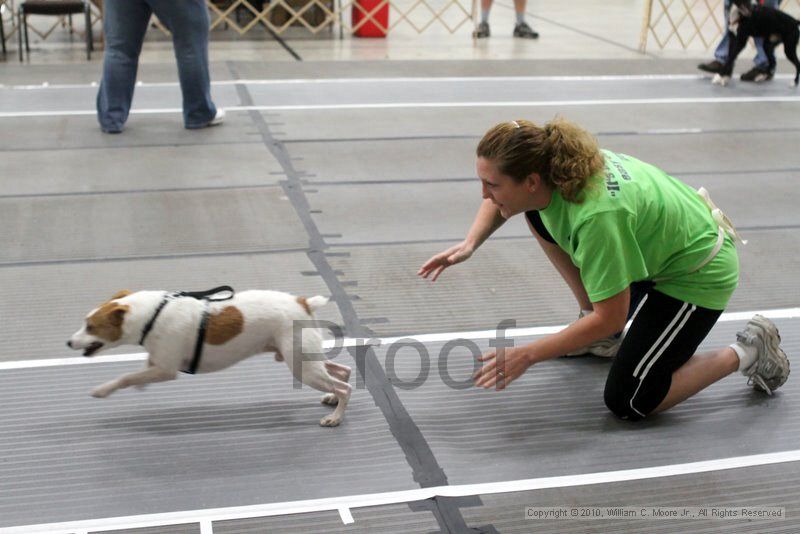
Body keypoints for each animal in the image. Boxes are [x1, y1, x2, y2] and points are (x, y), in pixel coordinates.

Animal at [69, 286, 354, 430]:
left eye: (91, 326)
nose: (68, 342)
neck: (153, 314)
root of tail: (303, 302)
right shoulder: (158, 363)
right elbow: (139, 372)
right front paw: (139, 384)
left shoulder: (166, 370)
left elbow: (126, 377)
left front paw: (103, 390)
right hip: (302, 358)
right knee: (342, 371)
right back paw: (331, 399)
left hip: (301, 366)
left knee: (344, 386)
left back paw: (335, 417)